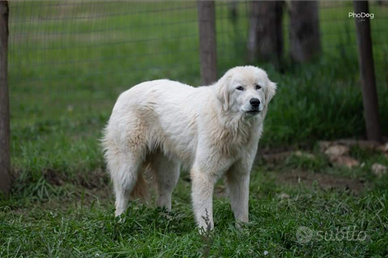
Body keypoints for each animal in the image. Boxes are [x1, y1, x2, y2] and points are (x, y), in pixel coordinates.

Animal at [101, 65, 274, 229]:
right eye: (240, 88)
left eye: (258, 87)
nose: (255, 102)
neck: (229, 123)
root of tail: (123, 94)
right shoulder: (203, 173)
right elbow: (206, 215)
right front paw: (207, 237)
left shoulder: (240, 174)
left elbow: (242, 211)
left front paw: (243, 234)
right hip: (128, 169)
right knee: (122, 195)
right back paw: (120, 223)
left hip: (169, 172)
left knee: (163, 197)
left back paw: (168, 224)